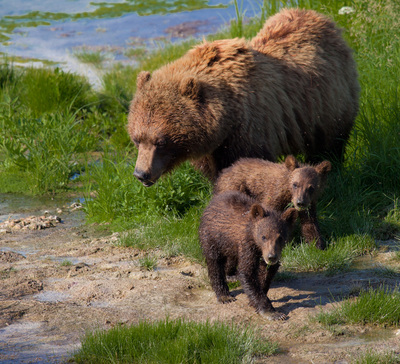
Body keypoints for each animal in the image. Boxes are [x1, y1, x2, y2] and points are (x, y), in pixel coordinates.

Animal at [128, 8, 360, 186]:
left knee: (330, 142)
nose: (141, 174)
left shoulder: (250, 127)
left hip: (329, 100)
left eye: (161, 141)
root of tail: (324, 19)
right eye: (137, 138)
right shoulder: (213, 146)